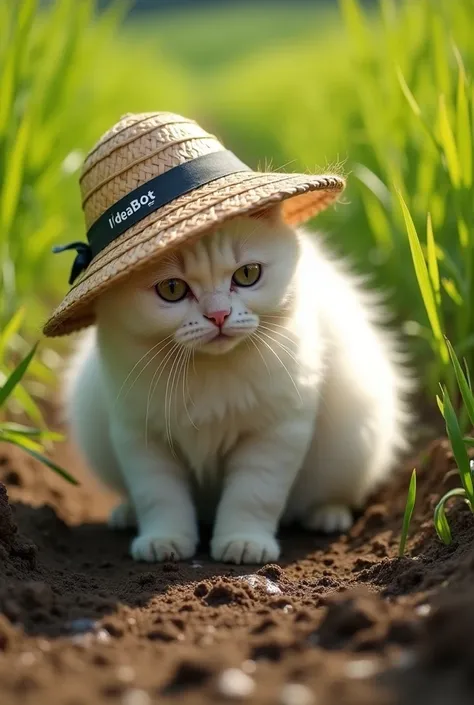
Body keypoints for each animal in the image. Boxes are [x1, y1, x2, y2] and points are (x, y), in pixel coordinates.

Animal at [65, 206, 412, 564]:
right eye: (172, 289)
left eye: (247, 275)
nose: (219, 315)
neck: (208, 370)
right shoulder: (141, 434)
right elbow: (159, 496)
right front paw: (164, 540)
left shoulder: (275, 431)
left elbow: (253, 495)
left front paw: (244, 543)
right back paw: (126, 514)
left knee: (333, 493)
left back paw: (326, 516)